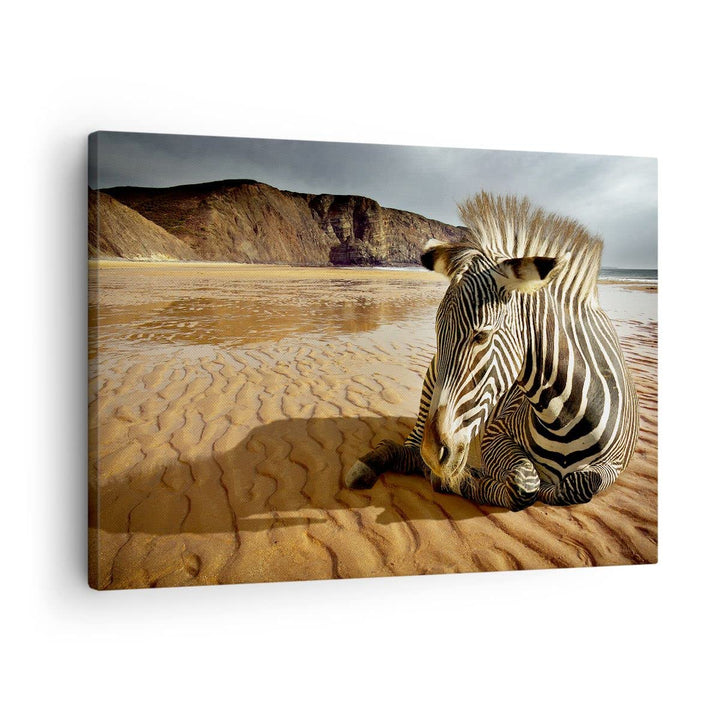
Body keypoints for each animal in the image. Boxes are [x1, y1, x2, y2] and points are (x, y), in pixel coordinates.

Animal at [345, 192, 639, 510]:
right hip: (430, 388)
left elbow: (580, 484)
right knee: (410, 450)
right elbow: (525, 484)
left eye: (481, 336)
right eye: (437, 333)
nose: (434, 454)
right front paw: (461, 481)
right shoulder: (494, 433)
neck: (565, 418)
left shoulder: (615, 465)